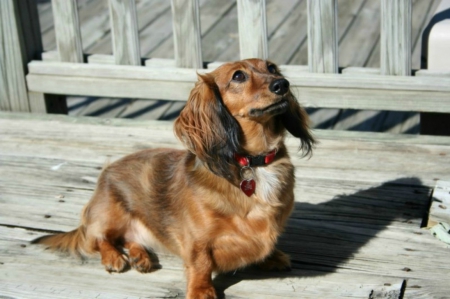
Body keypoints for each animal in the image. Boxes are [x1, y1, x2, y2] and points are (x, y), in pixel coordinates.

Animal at [32, 59, 312, 299]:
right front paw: (201, 290)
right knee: (99, 239)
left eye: (272, 68)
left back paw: (140, 257)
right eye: (238, 76)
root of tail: (105, 175)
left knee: (129, 238)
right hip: (110, 213)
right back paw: (114, 257)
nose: (282, 84)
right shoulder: (197, 240)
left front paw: (271, 257)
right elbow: (201, 263)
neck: (255, 163)